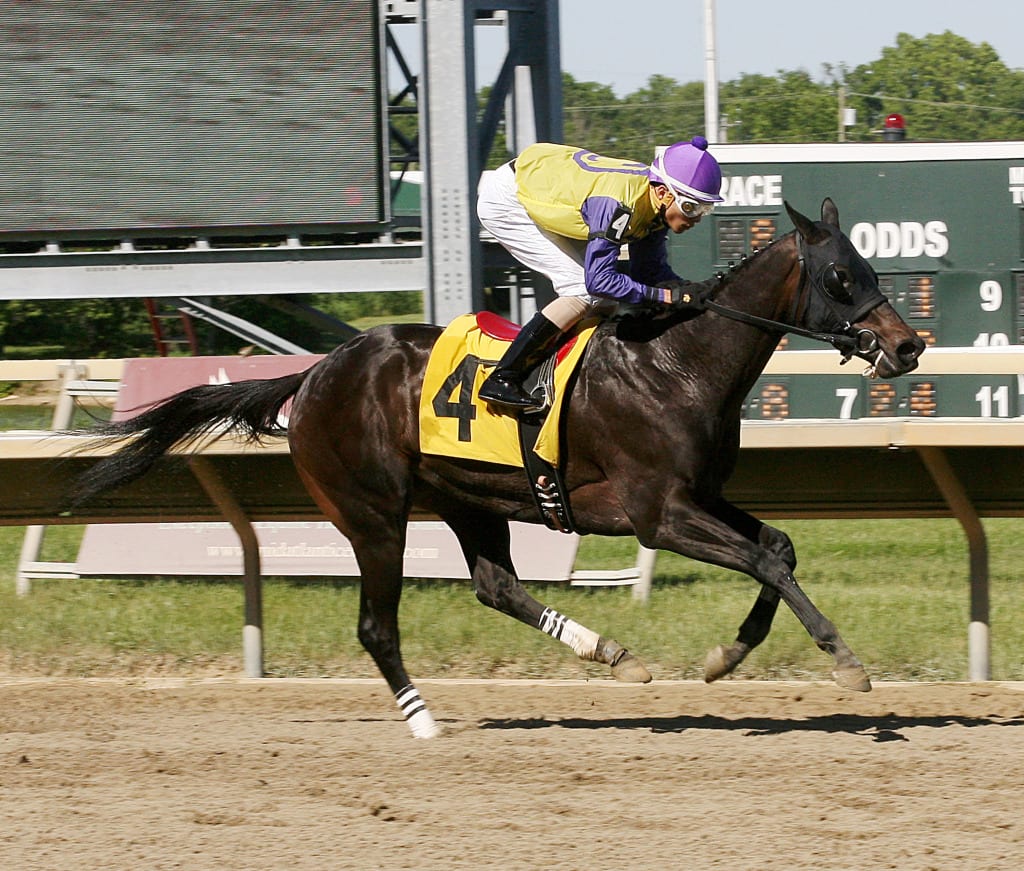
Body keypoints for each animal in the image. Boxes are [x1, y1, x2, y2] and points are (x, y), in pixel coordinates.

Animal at [68, 200, 925, 741]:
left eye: (872, 266)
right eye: (842, 277)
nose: (908, 345)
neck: (676, 362)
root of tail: (312, 375)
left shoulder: (701, 495)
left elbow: (777, 548)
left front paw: (728, 655)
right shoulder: (658, 511)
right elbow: (762, 559)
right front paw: (845, 662)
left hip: (467, 497)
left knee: (495, 584)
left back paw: (612, 654)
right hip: (372, 514)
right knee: (378, 625)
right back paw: (422, 718)